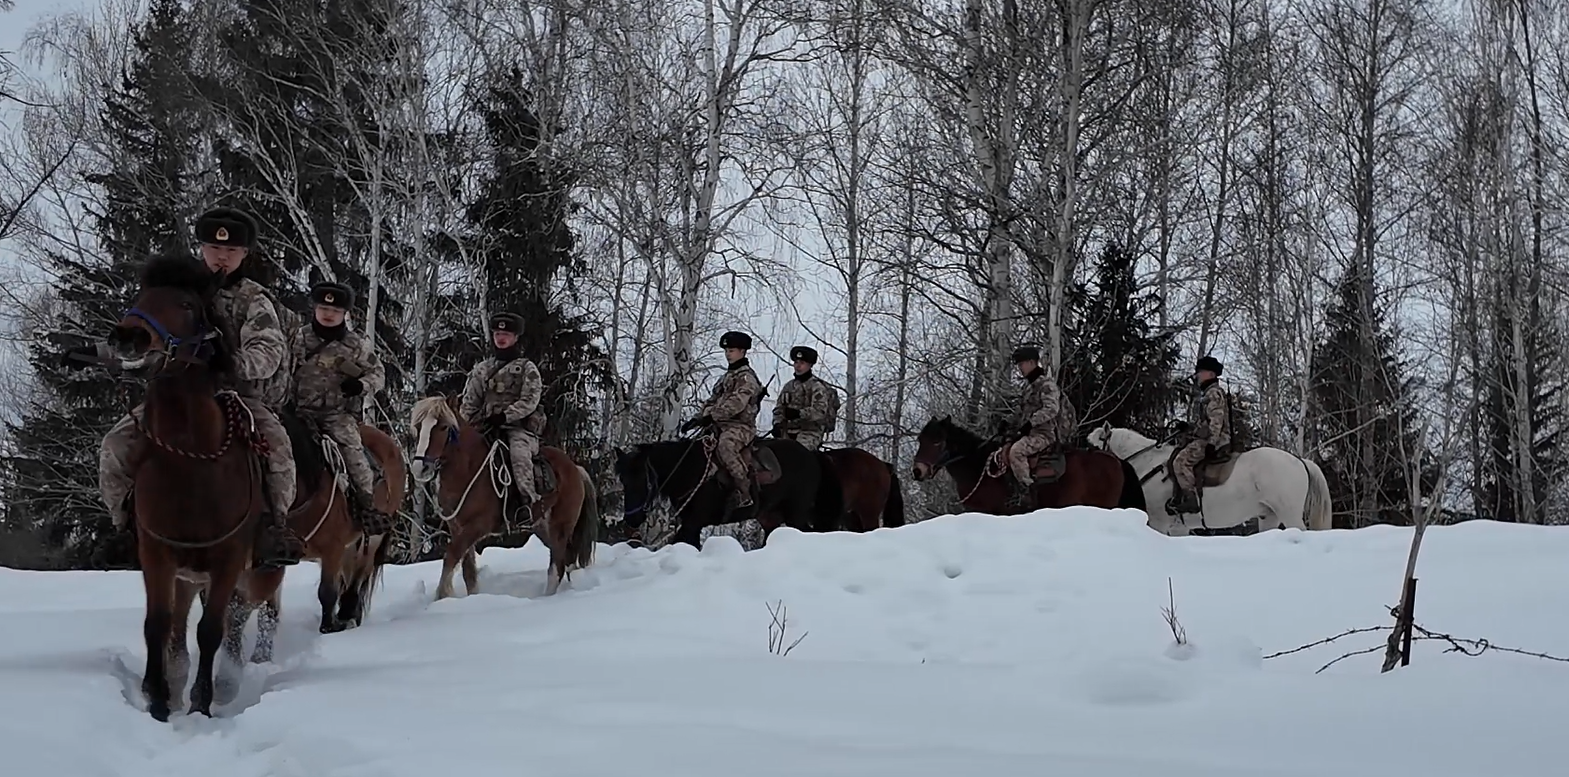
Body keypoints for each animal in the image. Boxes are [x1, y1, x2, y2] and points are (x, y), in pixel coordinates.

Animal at [409, 396, 599, 600]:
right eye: (419, 426)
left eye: (444, 427)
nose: (420, 467)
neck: (469, 469)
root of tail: (575, 469)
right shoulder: (457, 528)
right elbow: (468, 572)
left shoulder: (477, 526)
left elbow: (451, 555)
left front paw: (442, 595)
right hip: (543, 528)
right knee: (567, 560)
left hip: (560, 529)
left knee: (557, 567)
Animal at [613, 433, 843, 548]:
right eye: (623, 480)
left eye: (642, 480)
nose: (631, 520)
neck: (690, 470)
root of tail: (813, 456)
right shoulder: (691, 524)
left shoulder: (693, 522)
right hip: (770, 517)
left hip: (796, 512)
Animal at [1089, 424, 1333, 535]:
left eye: (1092, 446)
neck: (1150, 465)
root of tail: (1299, 460)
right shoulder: (1179, 528)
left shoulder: (1159, 522)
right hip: (1268, 516)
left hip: (1289, 514)